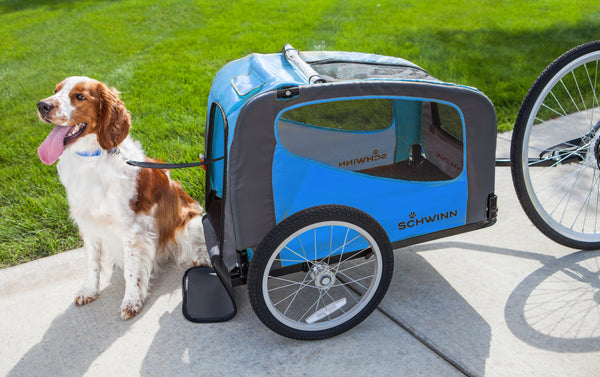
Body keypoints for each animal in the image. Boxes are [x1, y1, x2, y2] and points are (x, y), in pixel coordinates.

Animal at [35, 76, 209, 318]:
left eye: (80, 96)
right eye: (55, 91)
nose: (42, 105)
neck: (91, 159)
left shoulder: (132, 229)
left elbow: (132, 271)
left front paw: (131, 301)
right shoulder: (88, 224)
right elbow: (92, 263)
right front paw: (89, 290)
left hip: (190, 220)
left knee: (201, 242)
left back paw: (201, 258)